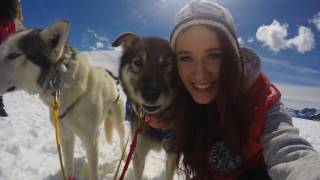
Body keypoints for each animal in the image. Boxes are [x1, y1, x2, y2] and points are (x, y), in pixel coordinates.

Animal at [0, 20, 126, 180]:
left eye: (13, 55)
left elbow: (93, 171)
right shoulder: (65, 136)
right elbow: (69, 166)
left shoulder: (91, 139)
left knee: (123, 141)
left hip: (118, 122)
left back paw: (124, 158)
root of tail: (112, 77)